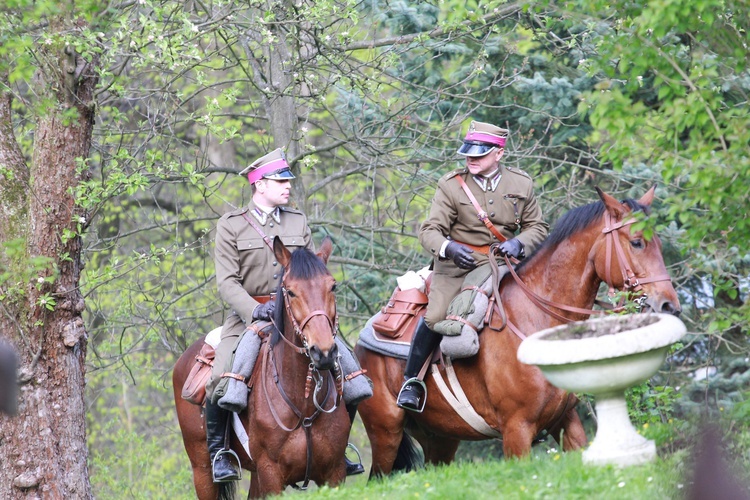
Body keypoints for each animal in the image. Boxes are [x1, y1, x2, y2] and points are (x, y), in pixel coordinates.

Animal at [174, 236, 352, 498]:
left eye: (333, 287)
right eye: (291, 291)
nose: (324, 352)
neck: (302, 404)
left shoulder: (334, 473)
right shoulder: (271, 474)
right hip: (202, 471)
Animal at [356, 187, 684, 476]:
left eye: (658, 242)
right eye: (637, 242)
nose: (669, 305)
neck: (536, 319)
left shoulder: (566, 420)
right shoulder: (517, 429)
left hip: (441, 439)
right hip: (386, 432)